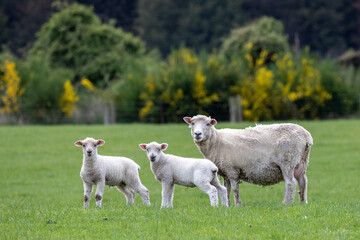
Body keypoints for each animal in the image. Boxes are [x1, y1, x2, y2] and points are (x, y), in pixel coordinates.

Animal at [184, 115, 314, 205]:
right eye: (193, 123)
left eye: (207, 124)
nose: (197, 134)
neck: (216, 141)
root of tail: (306, 136)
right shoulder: (225, 172)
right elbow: (226, 189)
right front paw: (228, 204)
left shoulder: (232, 170)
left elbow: (235, 189)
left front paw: (238, 204)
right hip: (301, 162)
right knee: (303, 181)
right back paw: (303, 202)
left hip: (288, 161)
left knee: (291, 183)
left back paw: (286, 203)